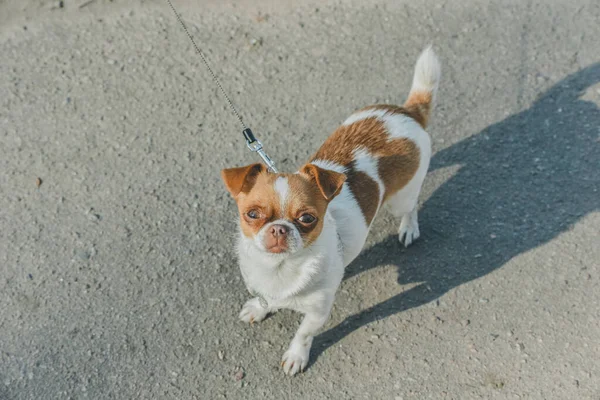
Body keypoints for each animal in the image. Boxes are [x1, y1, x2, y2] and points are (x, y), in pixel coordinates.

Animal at [220, 47, 440, 376]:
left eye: (307, 219)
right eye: (253, 214)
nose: (279, 228)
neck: (280, 268)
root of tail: (407, 113)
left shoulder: (317, 311)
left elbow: (303, 334)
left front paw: (296, 355)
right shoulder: (263, 285)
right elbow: (265, 299)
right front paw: (260, 309)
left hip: (399, 199)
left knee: (410, 206)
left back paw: (408, 228)